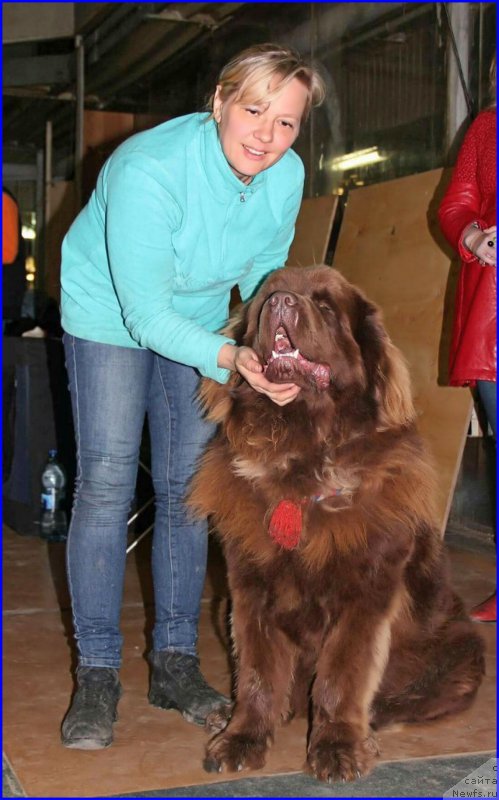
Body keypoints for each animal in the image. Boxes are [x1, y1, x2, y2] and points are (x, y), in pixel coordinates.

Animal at [189, 268, 486, 780]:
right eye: (268, 297)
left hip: (463, 645)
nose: (282, 302)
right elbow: (258, 674)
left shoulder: (365, 596)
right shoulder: (248, 591)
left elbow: (342, 677)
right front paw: (243, 737)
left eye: (327, 308)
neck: (302, 452)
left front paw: (338, 748)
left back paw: (375, 724)